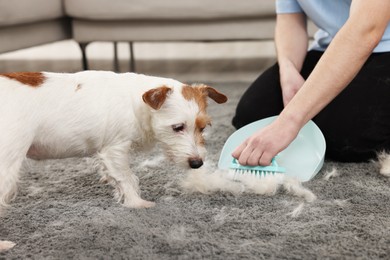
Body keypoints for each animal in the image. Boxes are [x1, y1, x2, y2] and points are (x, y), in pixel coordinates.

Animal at [0, 70, 229, 210]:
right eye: (178, 127)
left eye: (202, 127)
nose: (197, 163)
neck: (137, 103)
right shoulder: (114, 149)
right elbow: (126, 178)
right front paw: (137, 203)